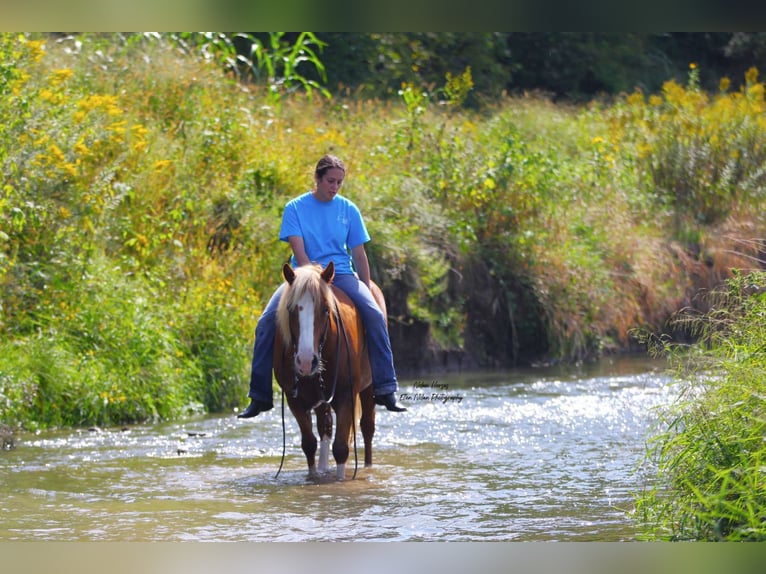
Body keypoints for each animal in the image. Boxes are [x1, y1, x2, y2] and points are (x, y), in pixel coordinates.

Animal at [274, 264, 384, 482]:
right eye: (290, 309)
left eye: (325, 309)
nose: (306, 361)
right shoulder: (294, 400)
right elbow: (309, 444)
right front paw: (314, 476)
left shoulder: (346, 395)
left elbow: (341, 448)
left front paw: (340, 481)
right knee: (325, 426)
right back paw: (324, 467)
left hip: (368, 388)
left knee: (367, 428)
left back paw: (367, 467)